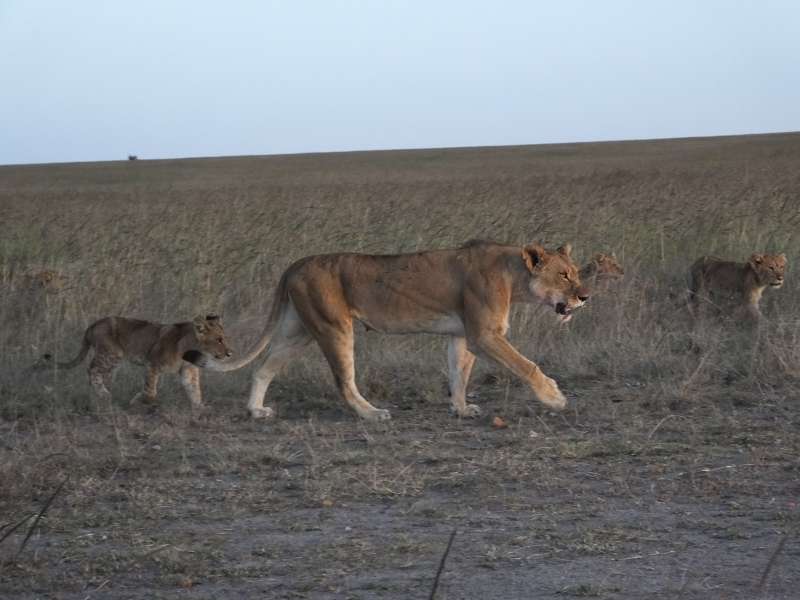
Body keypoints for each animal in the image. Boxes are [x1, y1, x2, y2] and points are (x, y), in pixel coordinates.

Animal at [36, 315, 232, 406]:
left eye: (224, 338)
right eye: (219, 340)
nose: (230, 353)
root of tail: (93, 325)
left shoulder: (188, 370)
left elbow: (195, 391)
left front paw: (199, 411)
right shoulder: (153, 363)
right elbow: (150, 391)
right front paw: (136, 401)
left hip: (111, 361)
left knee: (99, 375)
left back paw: (101, 396)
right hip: (111, 354)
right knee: (91, 370)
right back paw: (104, 394)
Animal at [183, 240, 588, 421]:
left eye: (577, 272)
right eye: (563, 275)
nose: (585, 296)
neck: (513, 275)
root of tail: (295, 264)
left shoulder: (462, 335)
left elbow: (459, 373)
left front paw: (460, 408)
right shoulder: (484, 334)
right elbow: (526, 366)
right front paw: (554, 397)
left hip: (298, 331)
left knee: (263, 367)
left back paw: (257, 410)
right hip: (335, 327)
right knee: (344, 381)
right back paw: (371, 413)